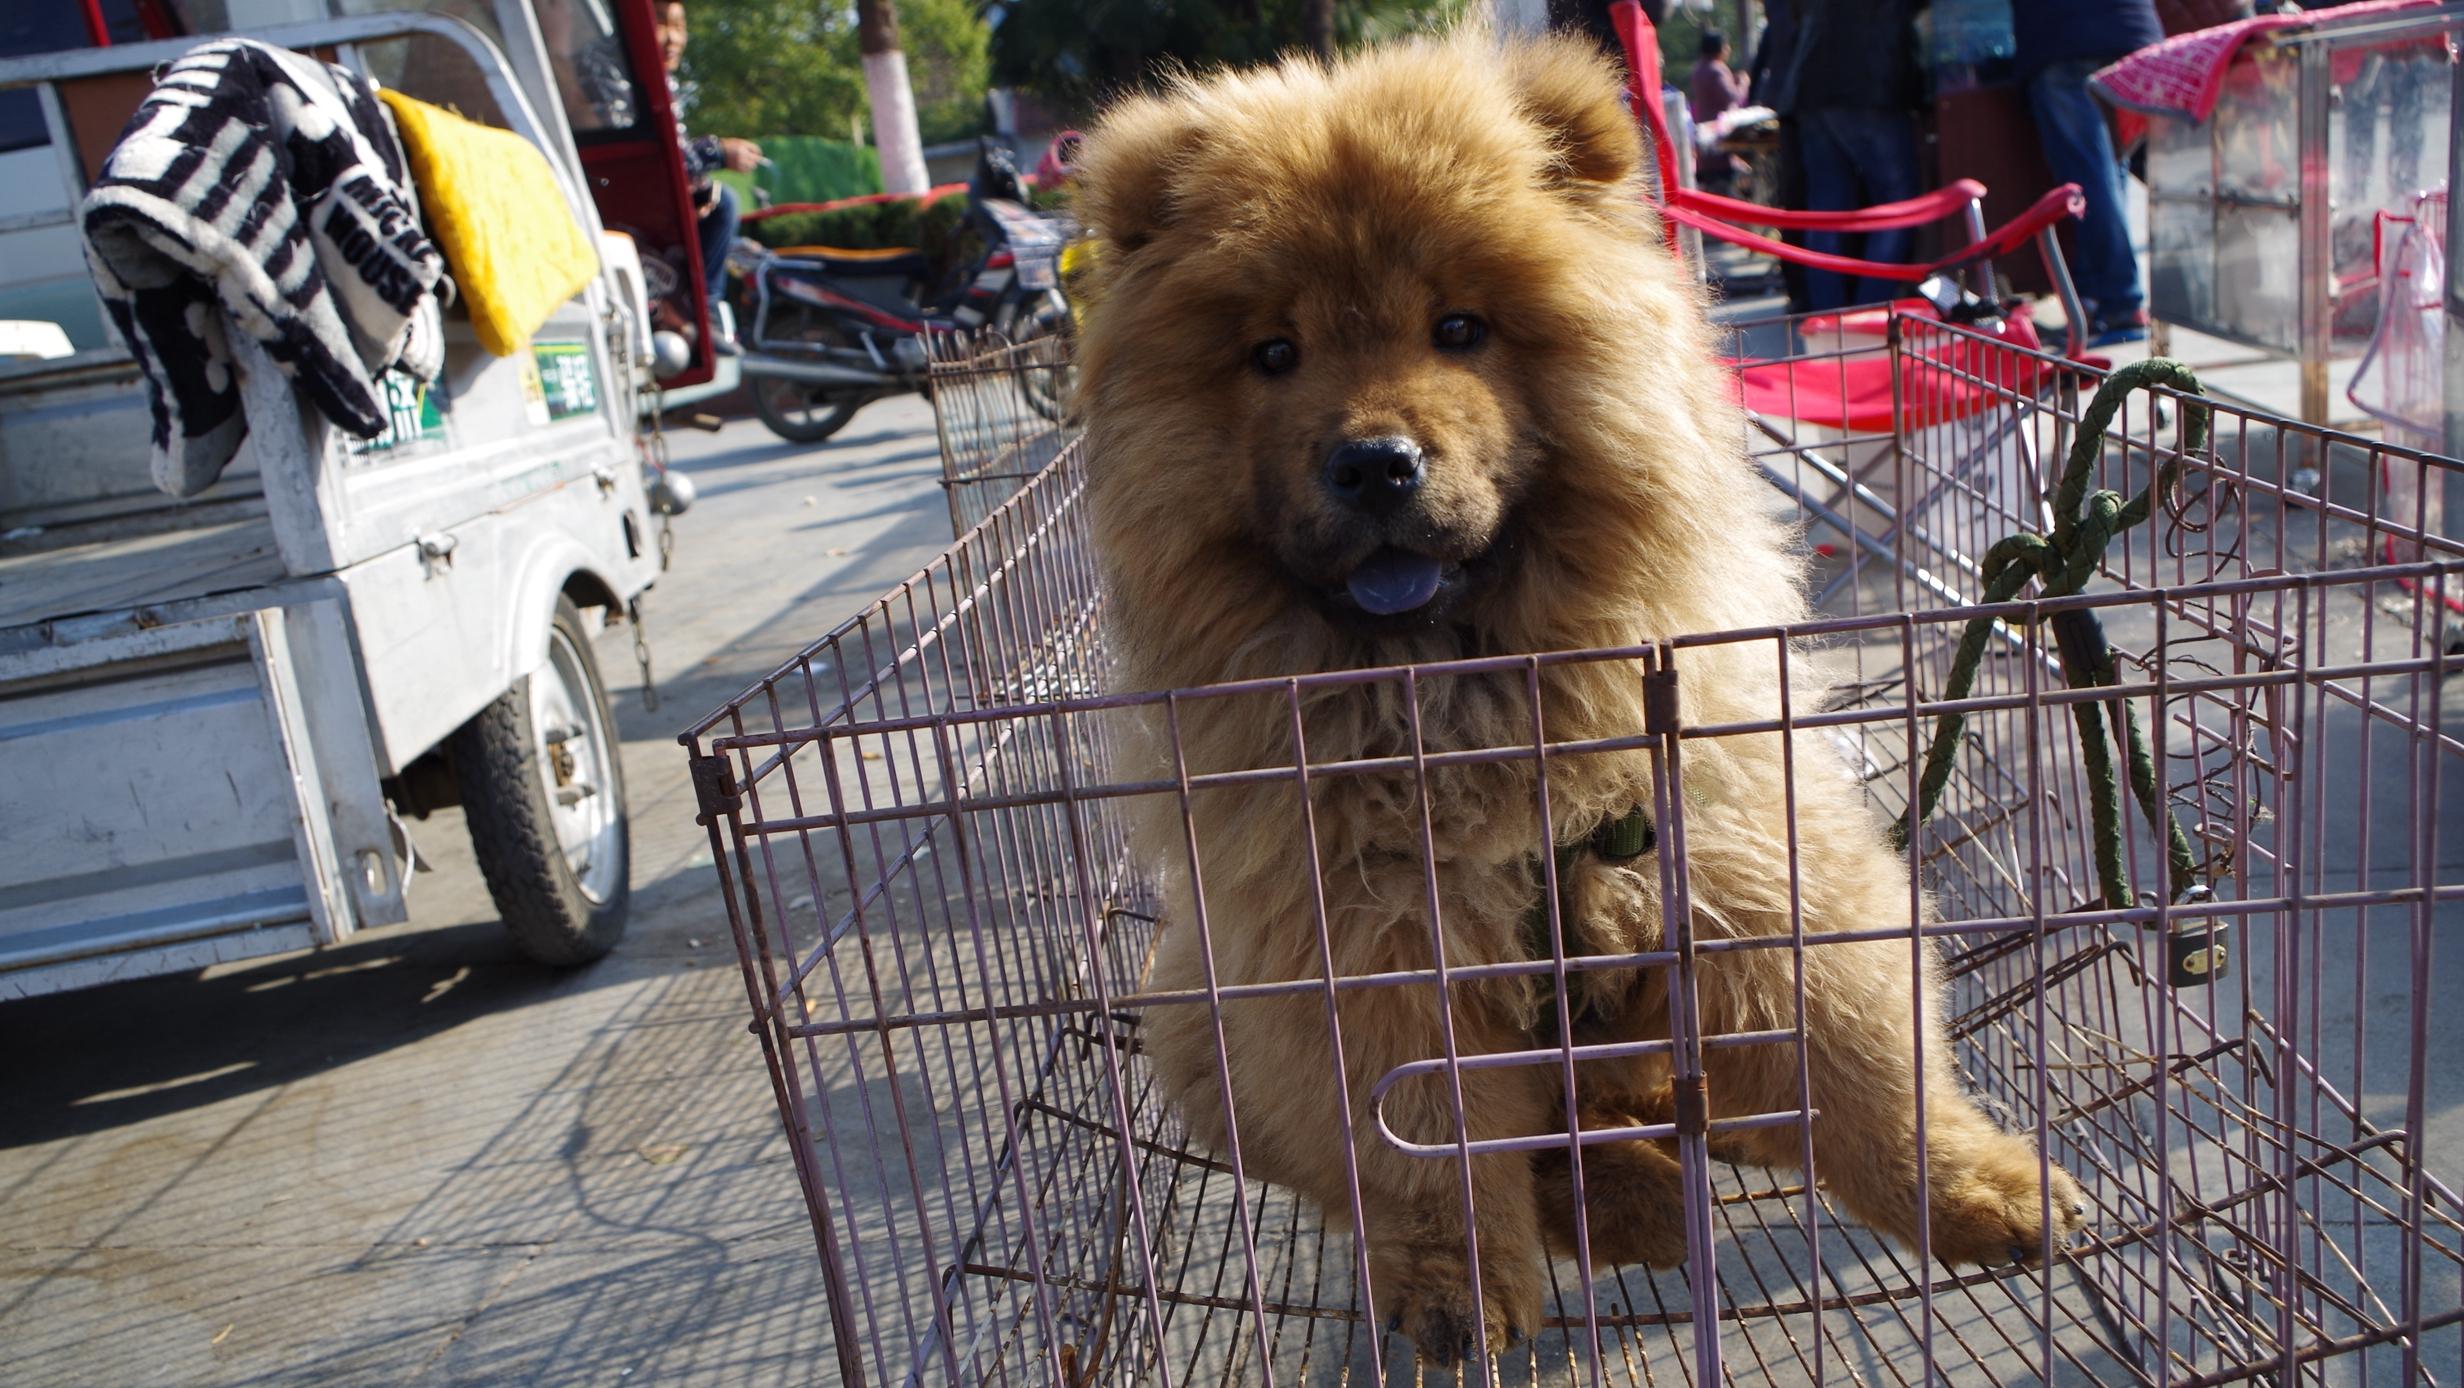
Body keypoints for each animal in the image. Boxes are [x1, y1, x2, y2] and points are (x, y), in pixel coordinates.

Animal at [1069, 27, 2089, 1360]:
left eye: (1459, 327)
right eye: (1273, 355)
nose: (1373, 461)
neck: (1466, 698)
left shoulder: (1742, 858)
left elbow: (1866, 1059)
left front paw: (1981, 1190)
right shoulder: (1366, 950)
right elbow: (1425, 1152)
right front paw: (1457, 1293)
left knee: (1651, 1087)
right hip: (1197, 1008)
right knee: (1497, 1149)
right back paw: (1633, 1201)